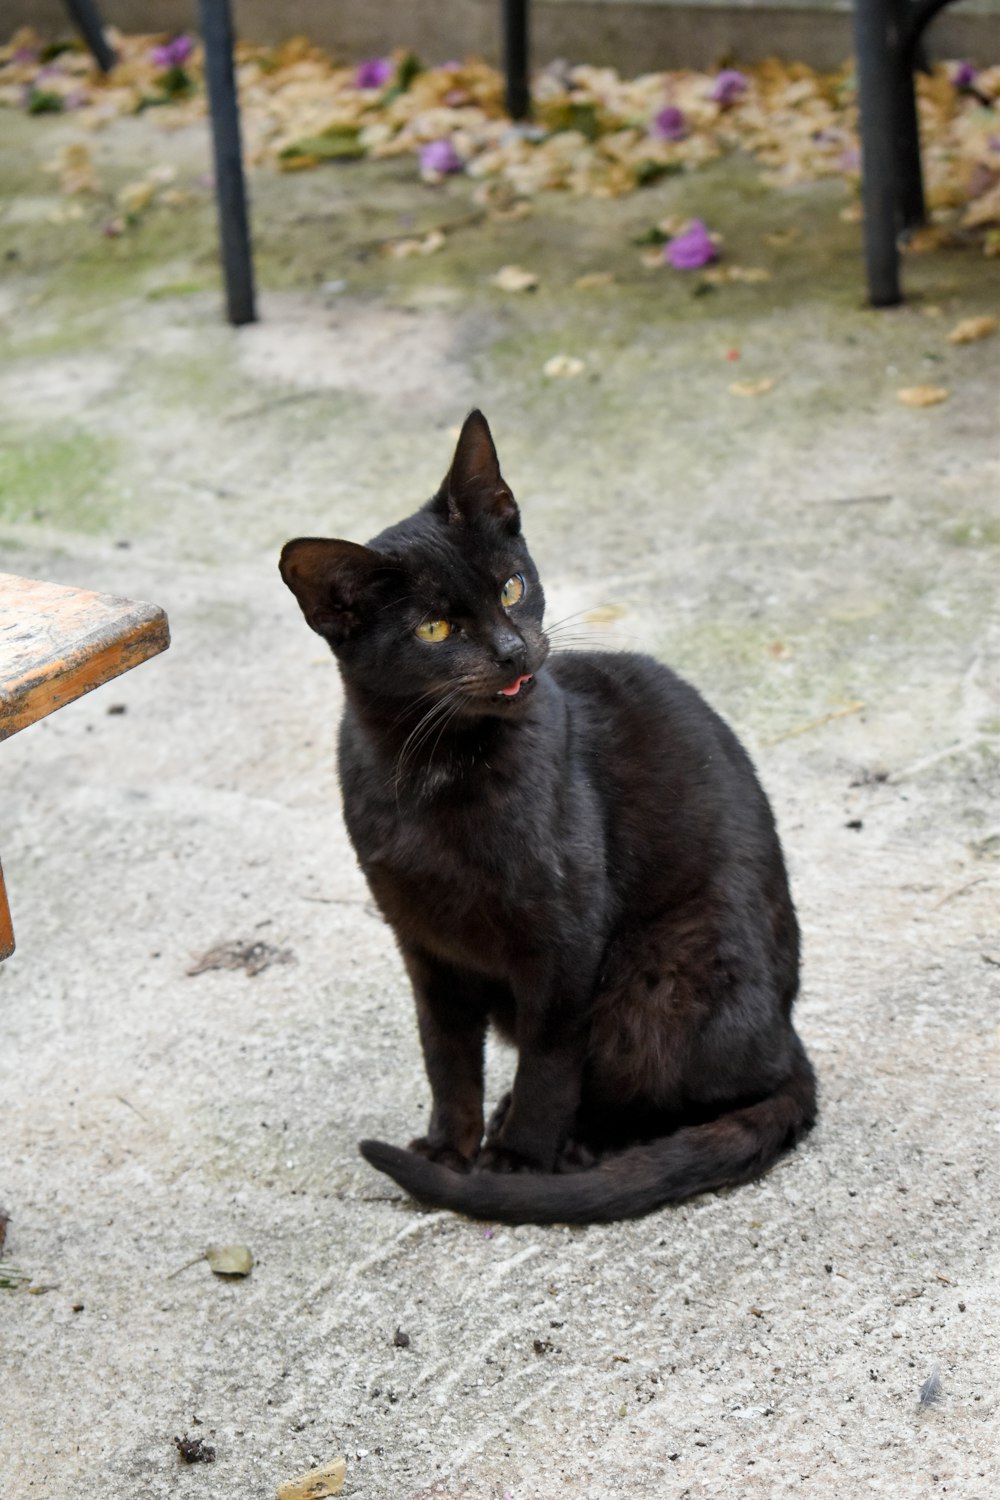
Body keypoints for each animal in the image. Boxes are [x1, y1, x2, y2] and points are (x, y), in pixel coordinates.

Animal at [280, 408, 815, 1218]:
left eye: (512, 585)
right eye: (433, 630)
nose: (511, 650)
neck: (435, 776)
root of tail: (791, 1037)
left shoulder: (564, 943)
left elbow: (548, 1061)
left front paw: (514, 1162)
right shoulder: (423, 946)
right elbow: (445, 1058)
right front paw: (449, 1148)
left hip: (658, 977)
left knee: (691, 1092)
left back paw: (582, 1145)